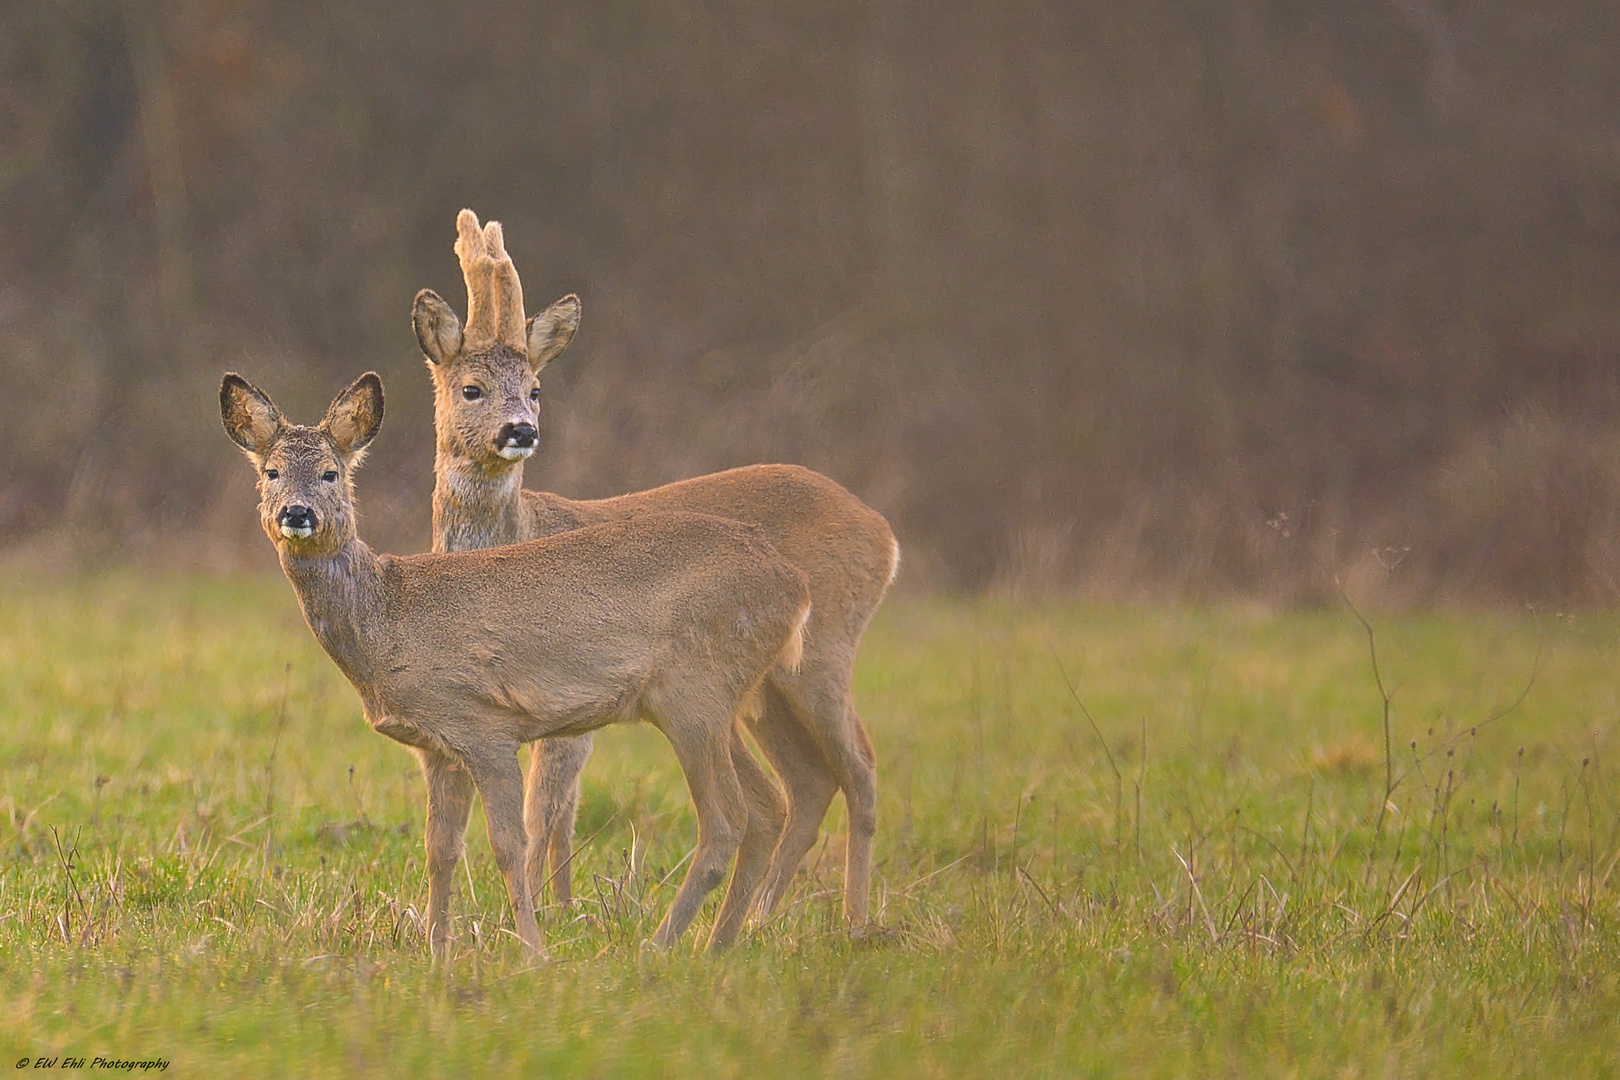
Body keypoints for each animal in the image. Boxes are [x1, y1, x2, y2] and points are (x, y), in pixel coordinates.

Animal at [218, 374, 810, 965]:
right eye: (271, 472)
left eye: (331, 473)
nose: (297, 513)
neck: (388, 616)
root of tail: (794, 586)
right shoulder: (436, 746)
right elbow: (440, 849)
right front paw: (437, 952)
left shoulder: (484, 725)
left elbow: (507, 844)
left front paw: (532, 951)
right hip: (717, 703)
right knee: (767, 808)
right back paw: (717, 945)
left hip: (694, 694)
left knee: (728, 821)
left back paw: (659, 946)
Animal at [411, 213, 900, 932]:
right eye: (469, 389)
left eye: (536, 389)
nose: (522, 430)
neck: (519, 532)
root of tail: (883, 532)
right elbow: (550, 807)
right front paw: (555, 908)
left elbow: (544, 807)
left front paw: (545, 912)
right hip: (762, 689)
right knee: (810, 782)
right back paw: (760, 921)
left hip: (824, 651)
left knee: (860, 768)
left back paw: (852, 923)